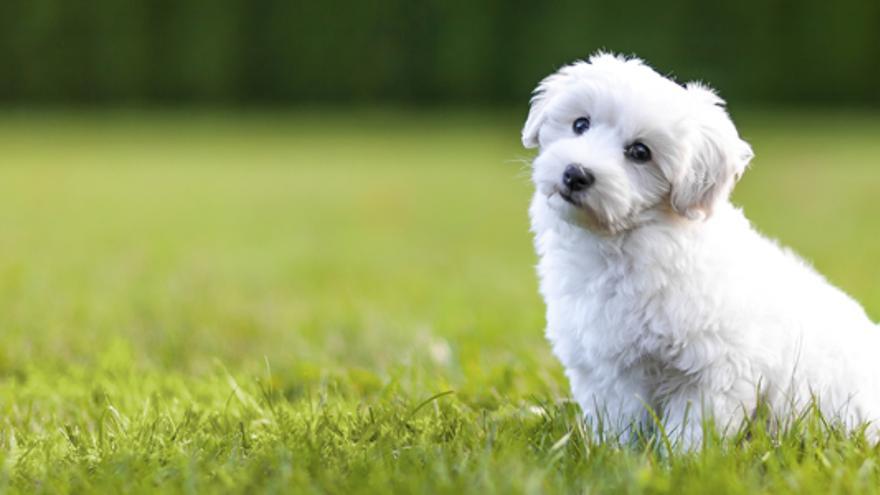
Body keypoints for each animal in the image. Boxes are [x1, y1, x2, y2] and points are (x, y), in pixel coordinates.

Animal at [524, 52, 876, 448]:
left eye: (640, 152)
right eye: (580, 124)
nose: (575, 174)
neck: (625, 242)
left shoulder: (712, 369)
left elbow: (692, 428)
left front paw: (679, 458)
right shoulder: (603, 370)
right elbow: (618, 419)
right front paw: (615, 453)